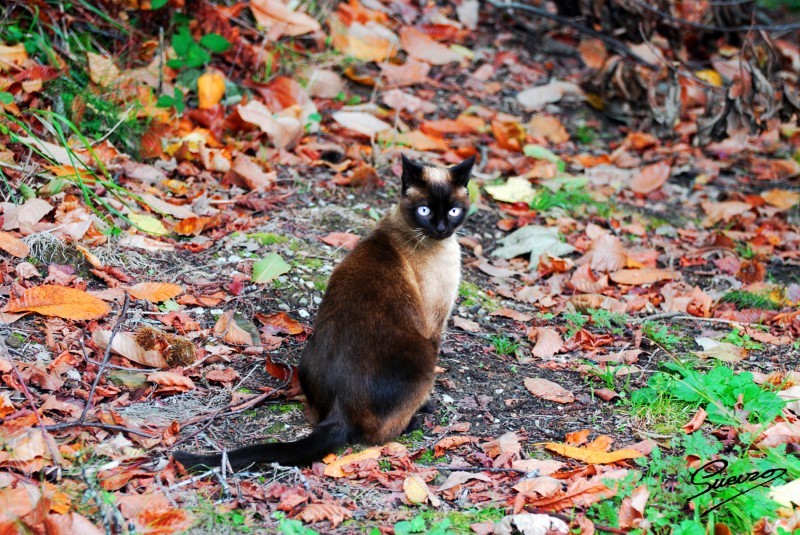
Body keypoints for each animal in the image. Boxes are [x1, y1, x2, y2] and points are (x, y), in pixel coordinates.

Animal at [173, 153, 476, 472]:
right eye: (424, 210)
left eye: (454, 210)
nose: (442, 228)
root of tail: (339, 410)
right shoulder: (435, 324)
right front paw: (428, 405)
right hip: (423, 357)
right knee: (379, 435)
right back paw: (413, 422)